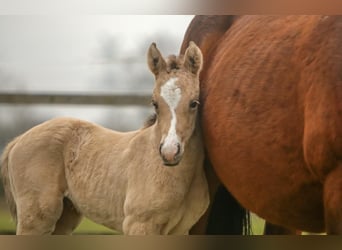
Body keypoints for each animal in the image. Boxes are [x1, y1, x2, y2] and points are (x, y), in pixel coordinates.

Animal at [0, 42, 208, 235]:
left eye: (194, 103)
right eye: (154, 103)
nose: (169, 152)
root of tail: (17, 140)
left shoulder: (180, 230)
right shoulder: (138, 225)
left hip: (65, 217)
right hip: (36, 219)